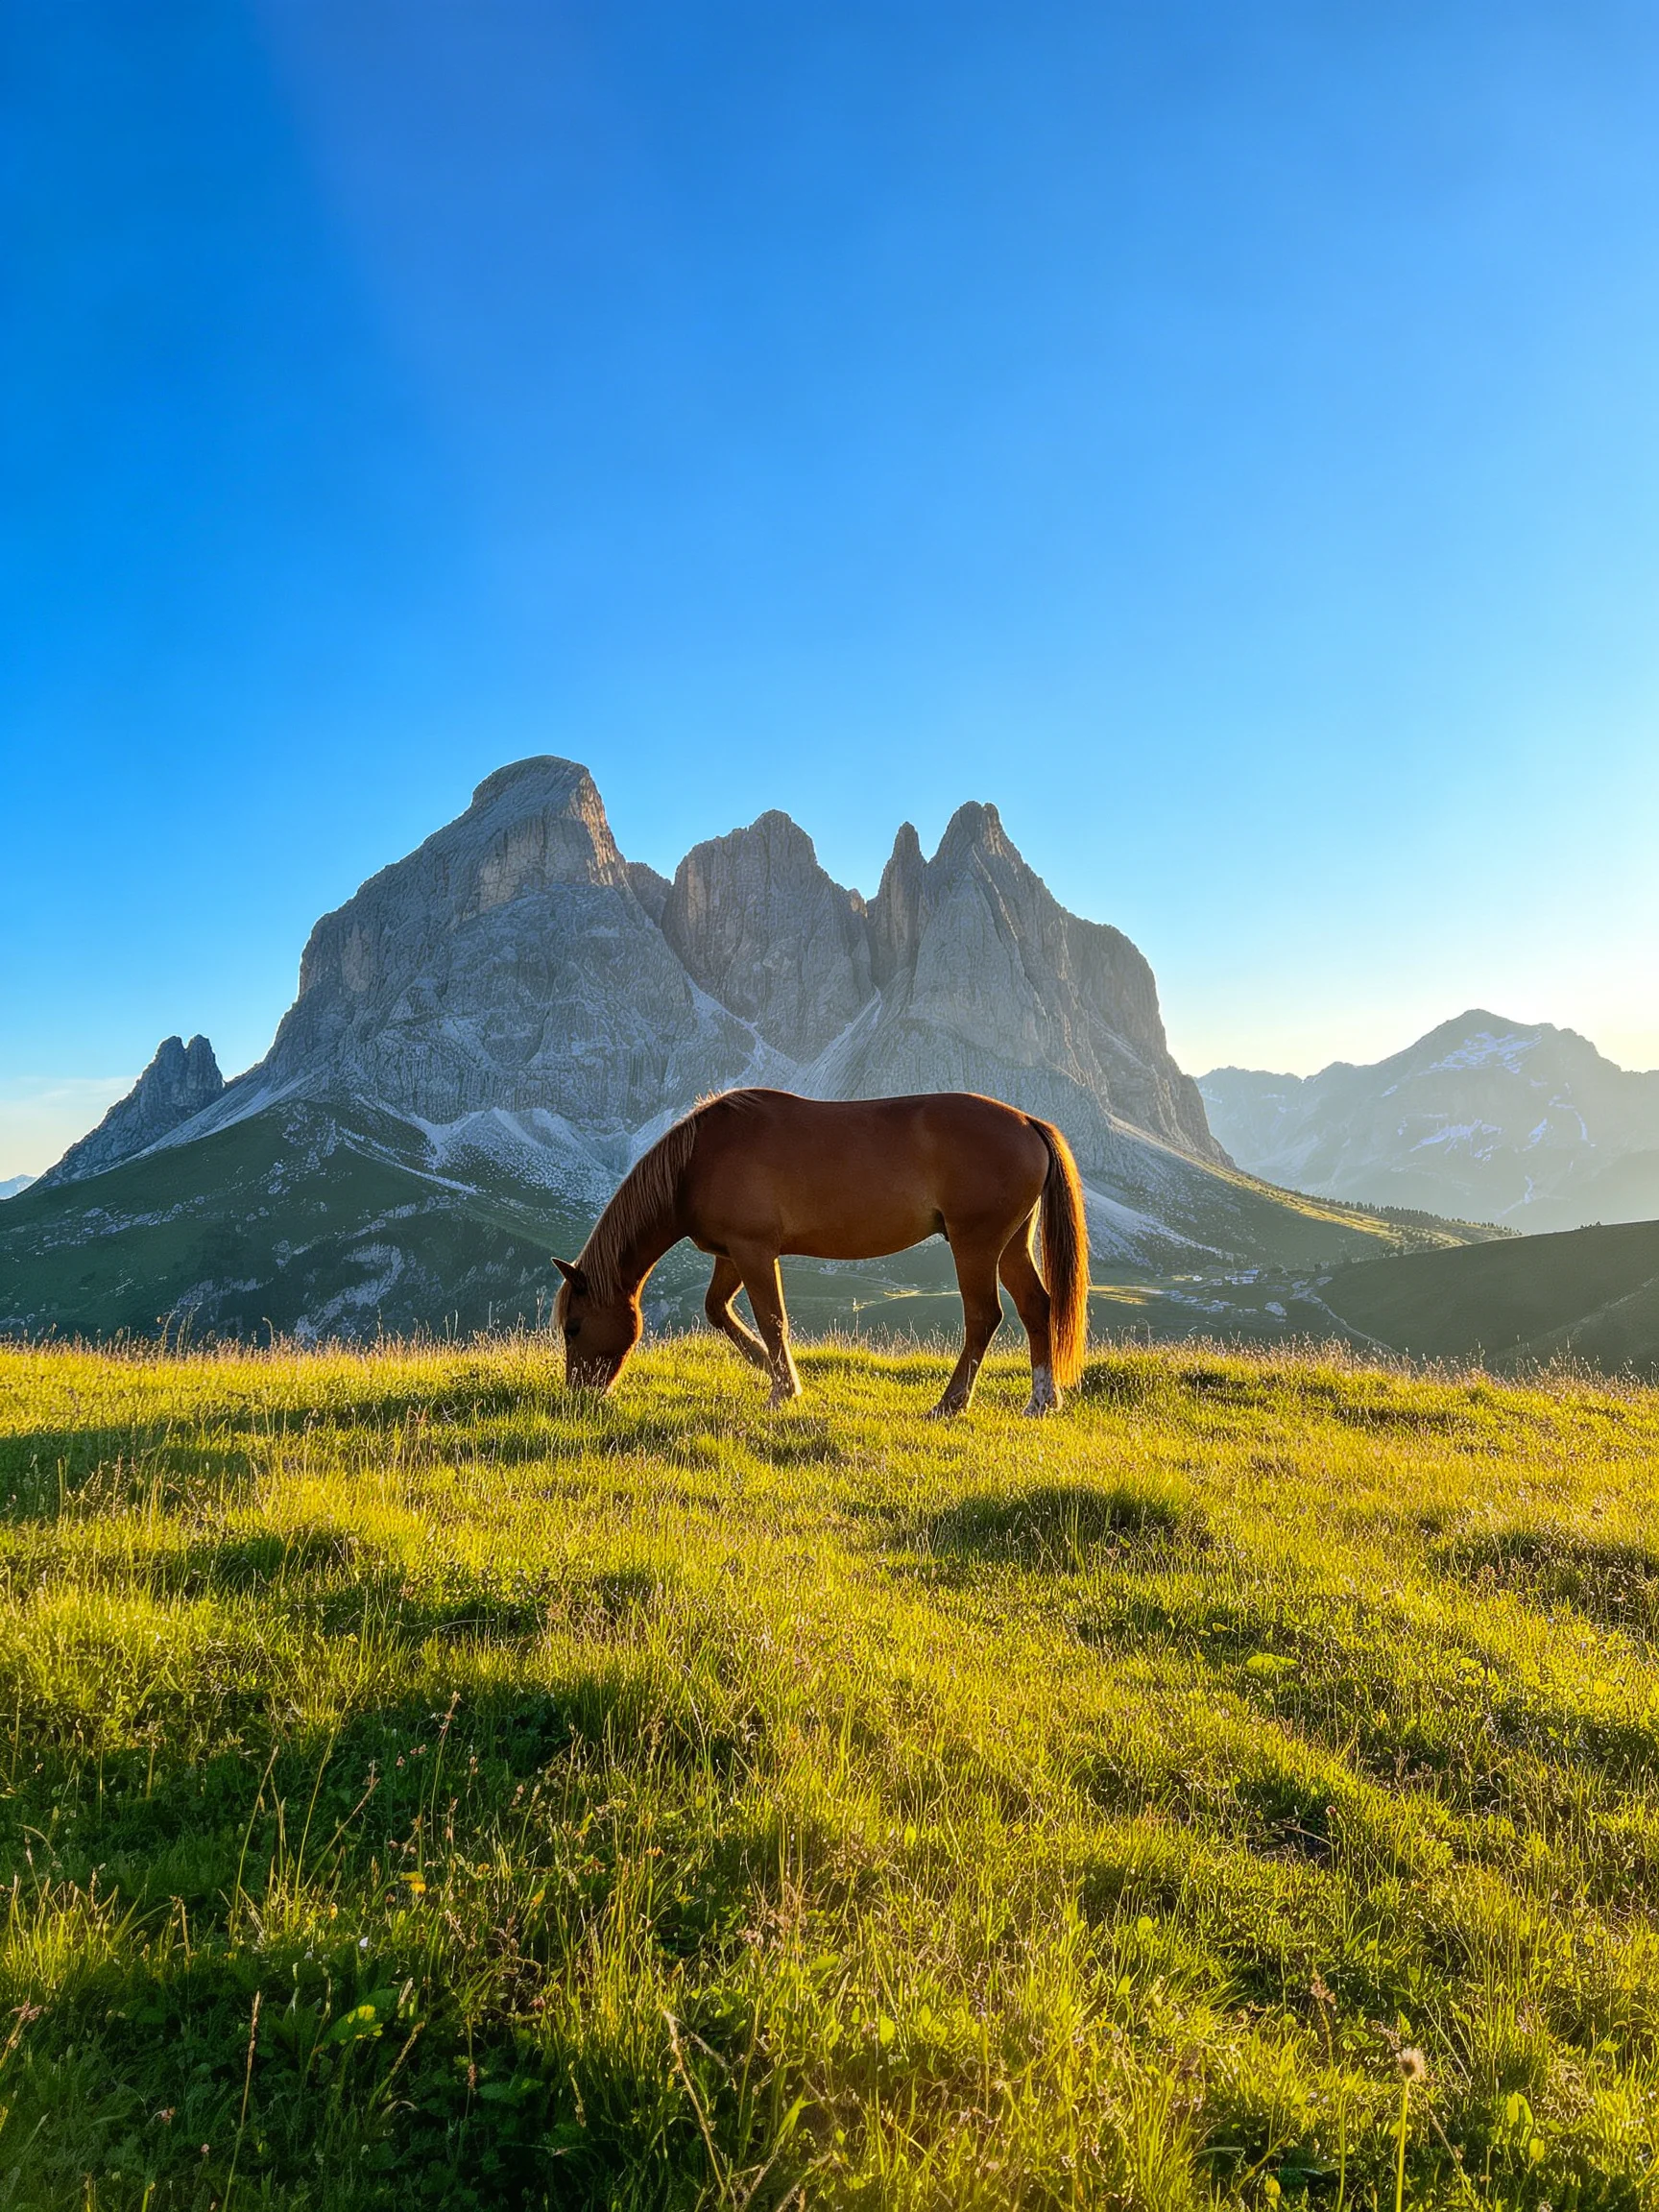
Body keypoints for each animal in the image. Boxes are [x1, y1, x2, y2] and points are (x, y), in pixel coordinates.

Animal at [552, 1088, 1089, 1416]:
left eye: (574, 1326)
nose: (578, 1395)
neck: (698, 1161)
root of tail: (1027, 1122)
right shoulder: (731, 1253)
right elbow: (718, 1310)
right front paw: (768, 1367)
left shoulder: (753, 1250)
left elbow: (772, 1319)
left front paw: (782, 1388)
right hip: (1011, 1246)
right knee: (1036, 1308)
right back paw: (1042, 1401)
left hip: (975, 1245)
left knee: (983, 1317)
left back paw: (949, 1403)